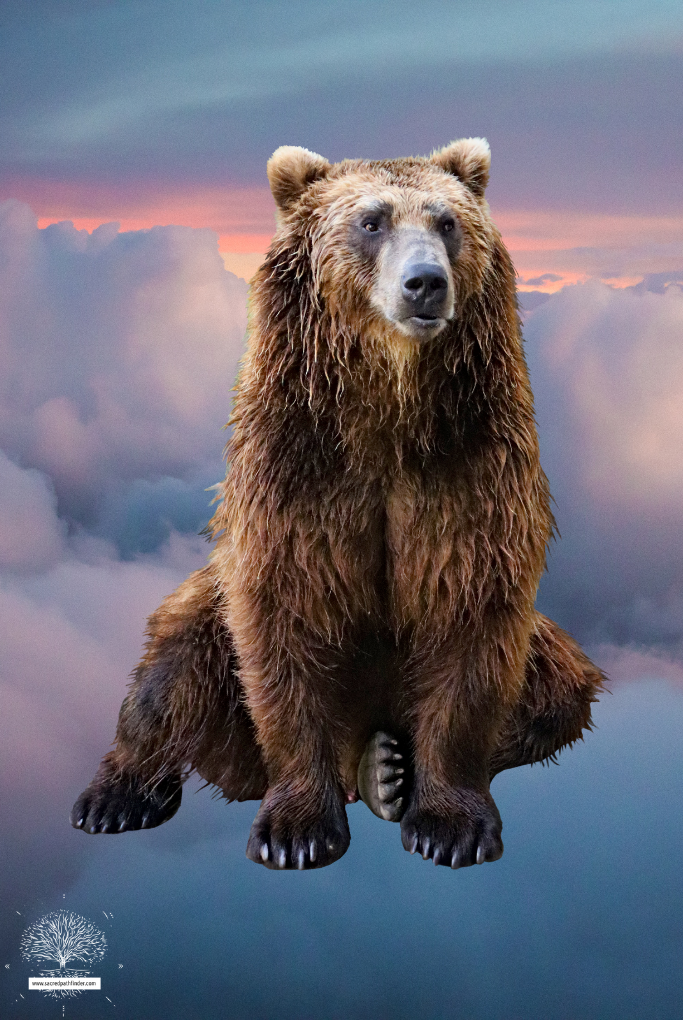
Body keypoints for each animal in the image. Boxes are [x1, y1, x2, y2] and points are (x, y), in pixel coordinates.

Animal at [70, 136, 602, 872]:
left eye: (446, 221)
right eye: (371, 221)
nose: (424, 283)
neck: (388, 410)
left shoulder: (469, 469)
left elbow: (469, 620)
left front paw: (449, 825)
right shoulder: (297, 473)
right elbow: (286, 621)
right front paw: (296, 831)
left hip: (545, 655)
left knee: (558, 692)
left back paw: (385, 771)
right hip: (207, 624)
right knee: (168, 672)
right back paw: (117, 796)